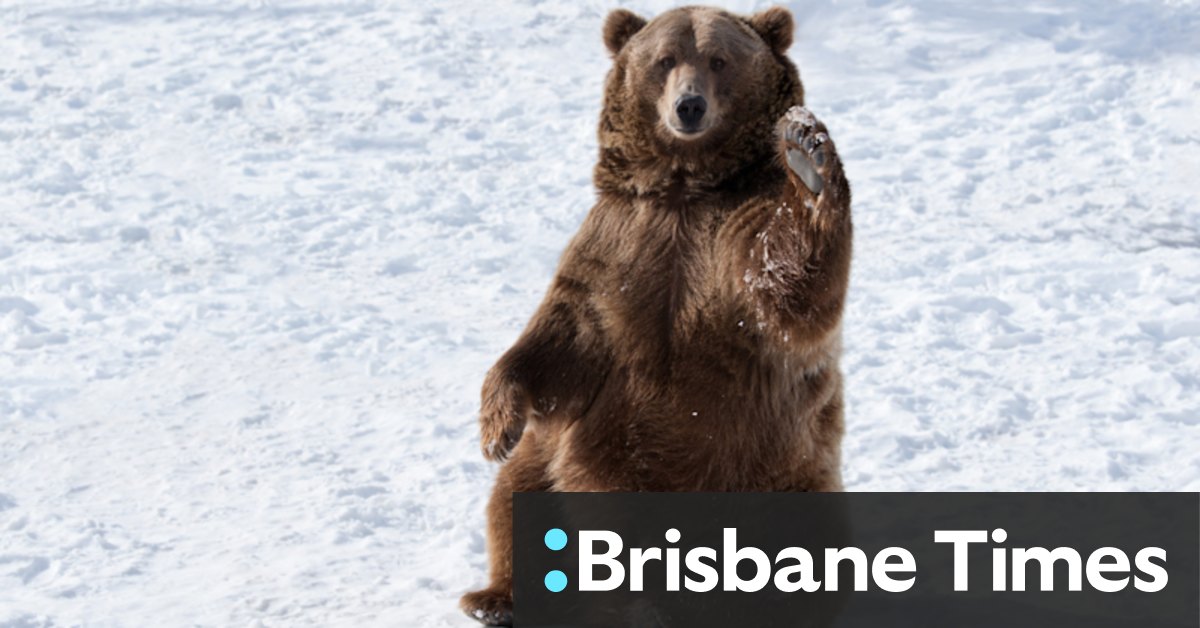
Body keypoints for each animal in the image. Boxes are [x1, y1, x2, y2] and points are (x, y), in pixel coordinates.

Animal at [461, 5, 852, 625]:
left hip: (778, 471)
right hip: (559, 466)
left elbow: (788, 286)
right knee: (515, 496)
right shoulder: (617, 244)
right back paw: (497, 599)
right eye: (665, 58)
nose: (688, 106)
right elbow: (559, 337)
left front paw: (807, 157)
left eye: (719, 59)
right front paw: (496, 426)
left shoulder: (729, 240)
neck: (684, 187)